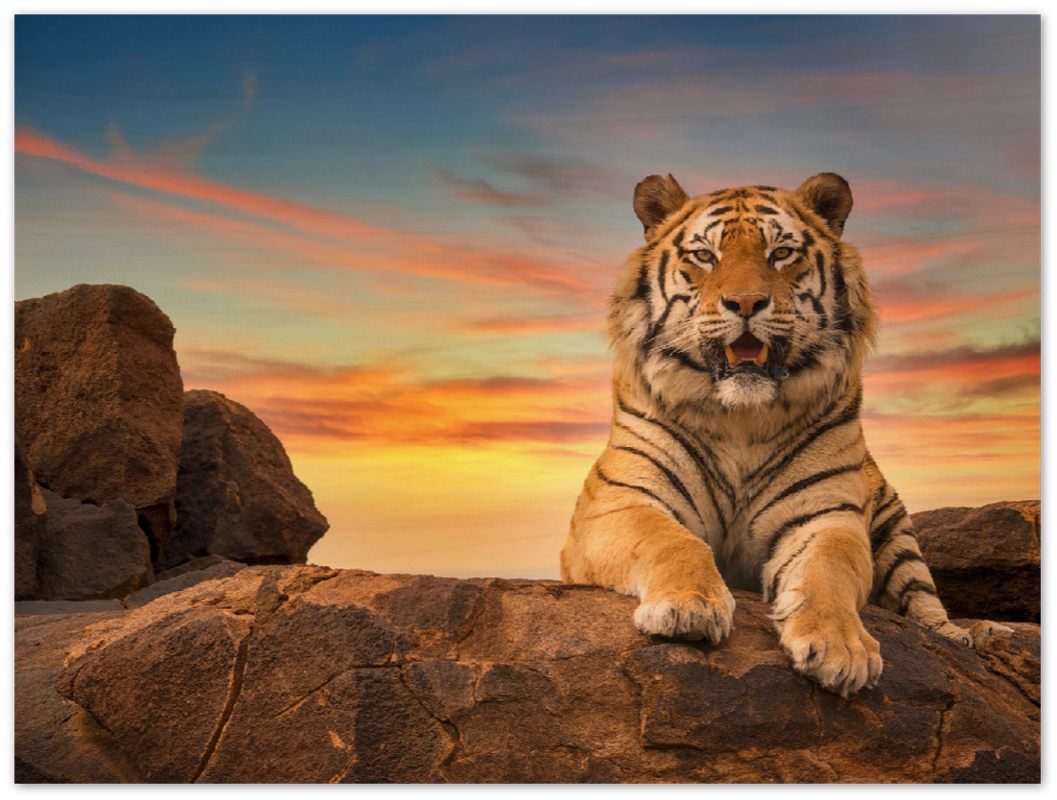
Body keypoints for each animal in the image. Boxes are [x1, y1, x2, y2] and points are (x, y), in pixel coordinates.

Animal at [560, 172, 1011, 697]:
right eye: (704, 255)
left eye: (781, 253)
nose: (746, 303)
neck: (739, 419)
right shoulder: (619, 503)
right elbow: (672, 541)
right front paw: (688, 608)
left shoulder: (827, 516)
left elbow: (828, 571)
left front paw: (840, 648)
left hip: (899, 538)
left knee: (927, 609)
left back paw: (974, 635)